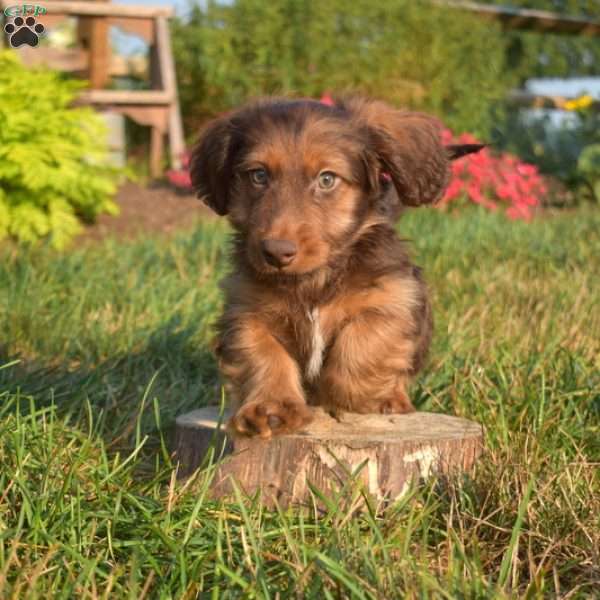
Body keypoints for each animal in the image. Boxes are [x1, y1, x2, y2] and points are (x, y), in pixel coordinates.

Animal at [192, 96, 482, 438]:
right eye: (258, 175)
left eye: (327, 179)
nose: (276, 253)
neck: (314, 278)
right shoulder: (244, 310)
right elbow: (262, 354)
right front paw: (270, 409)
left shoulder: (395, 296)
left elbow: (363, 341)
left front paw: (348, 395)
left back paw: (392, 399)